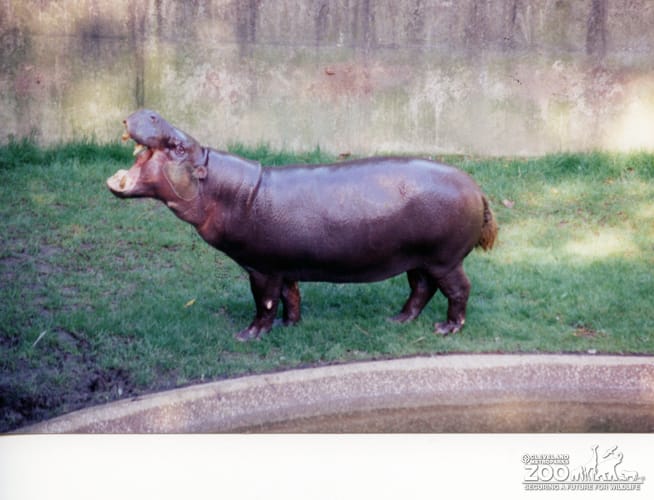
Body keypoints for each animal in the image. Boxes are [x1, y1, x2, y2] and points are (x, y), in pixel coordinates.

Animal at [107, 109, 498, 341]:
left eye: (177, 146)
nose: (149, 112)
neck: (227, 190)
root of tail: (478, 189)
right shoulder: (283, 265)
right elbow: (290, 295)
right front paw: (289, 325)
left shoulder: (261, 267)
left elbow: (264, 302)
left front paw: (249, 335)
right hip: (417, 258)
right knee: (421, 289)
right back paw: (398, 320)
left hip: (444, 259)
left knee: (458, 290)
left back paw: (446, 328)